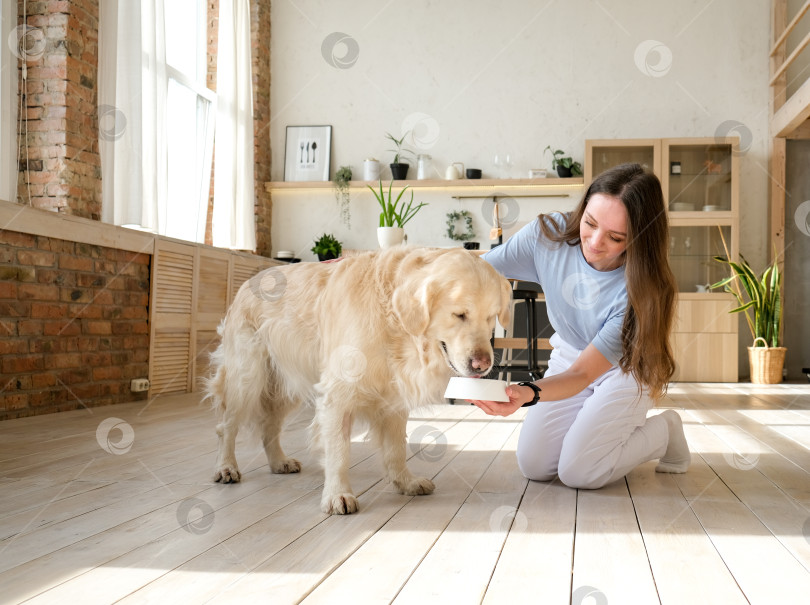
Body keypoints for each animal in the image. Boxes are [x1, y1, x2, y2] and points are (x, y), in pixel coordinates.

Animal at [208, 245, 512, 516]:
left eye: (491, 318)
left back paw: (279, 462)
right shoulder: (336, 395)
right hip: (247, 377)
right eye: (459, 314)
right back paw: (226, 467)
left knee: (268, 425)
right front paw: (338, 495)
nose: (483, 365)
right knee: (226, 426)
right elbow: (339, 452)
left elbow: (396, 449)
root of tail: (252, 280)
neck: (394, 322)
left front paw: (406, 482)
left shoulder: (394, 398)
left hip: (287, 382)